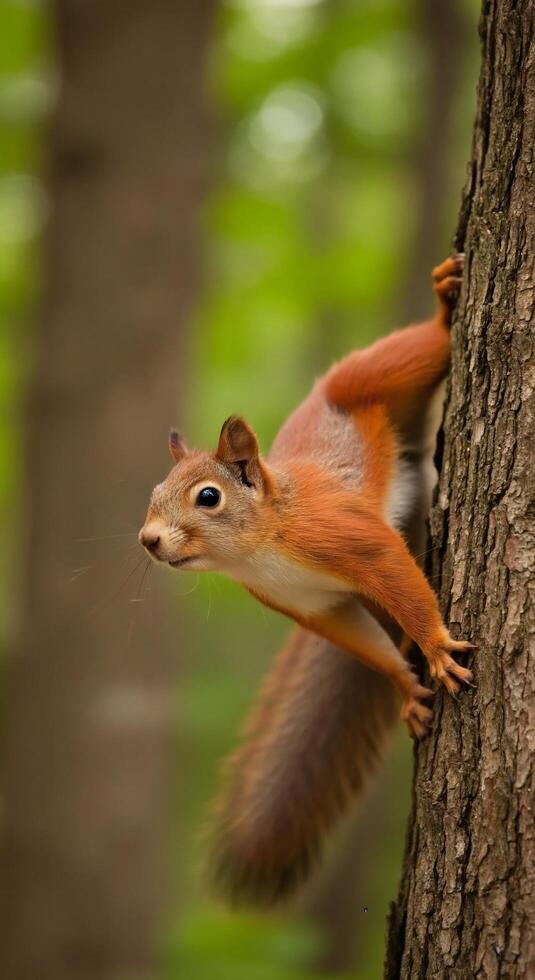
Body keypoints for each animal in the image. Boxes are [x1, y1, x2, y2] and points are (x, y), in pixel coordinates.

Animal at [139, 253, 473, 905]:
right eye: (152, 496)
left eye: (208, 497)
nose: (148, 540)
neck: (259, 551)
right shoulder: (314, 606)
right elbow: (358, 638)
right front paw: (406, 682)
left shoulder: (346, 533)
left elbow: (392, 569)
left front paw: (437, 648)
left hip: (373, 375)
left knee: (424, 346)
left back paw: (444, 303)